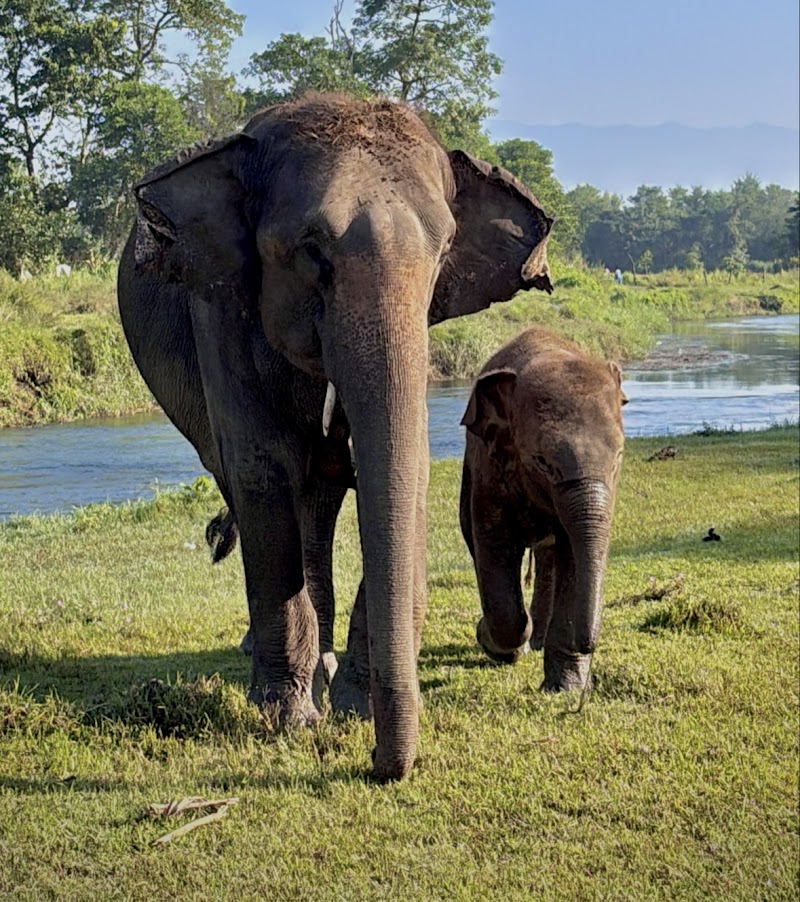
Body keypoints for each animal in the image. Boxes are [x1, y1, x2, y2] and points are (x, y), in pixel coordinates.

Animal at [118, 93, 553, 780]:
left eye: (443, 253)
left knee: (319, 498)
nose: (379, 762)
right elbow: (261, 468)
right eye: (311, 250)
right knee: (253, 480)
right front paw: (289, 717)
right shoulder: (218, 308)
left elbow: (397, 466)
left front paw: (349, 707)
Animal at [459, 327, 627, 691]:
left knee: (548, 556)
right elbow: (493, 546)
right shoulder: (490, 472)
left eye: (619, 456)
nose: (588, 645)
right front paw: (494, 642)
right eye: (542, 461)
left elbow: (574, 557)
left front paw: (566, 688)